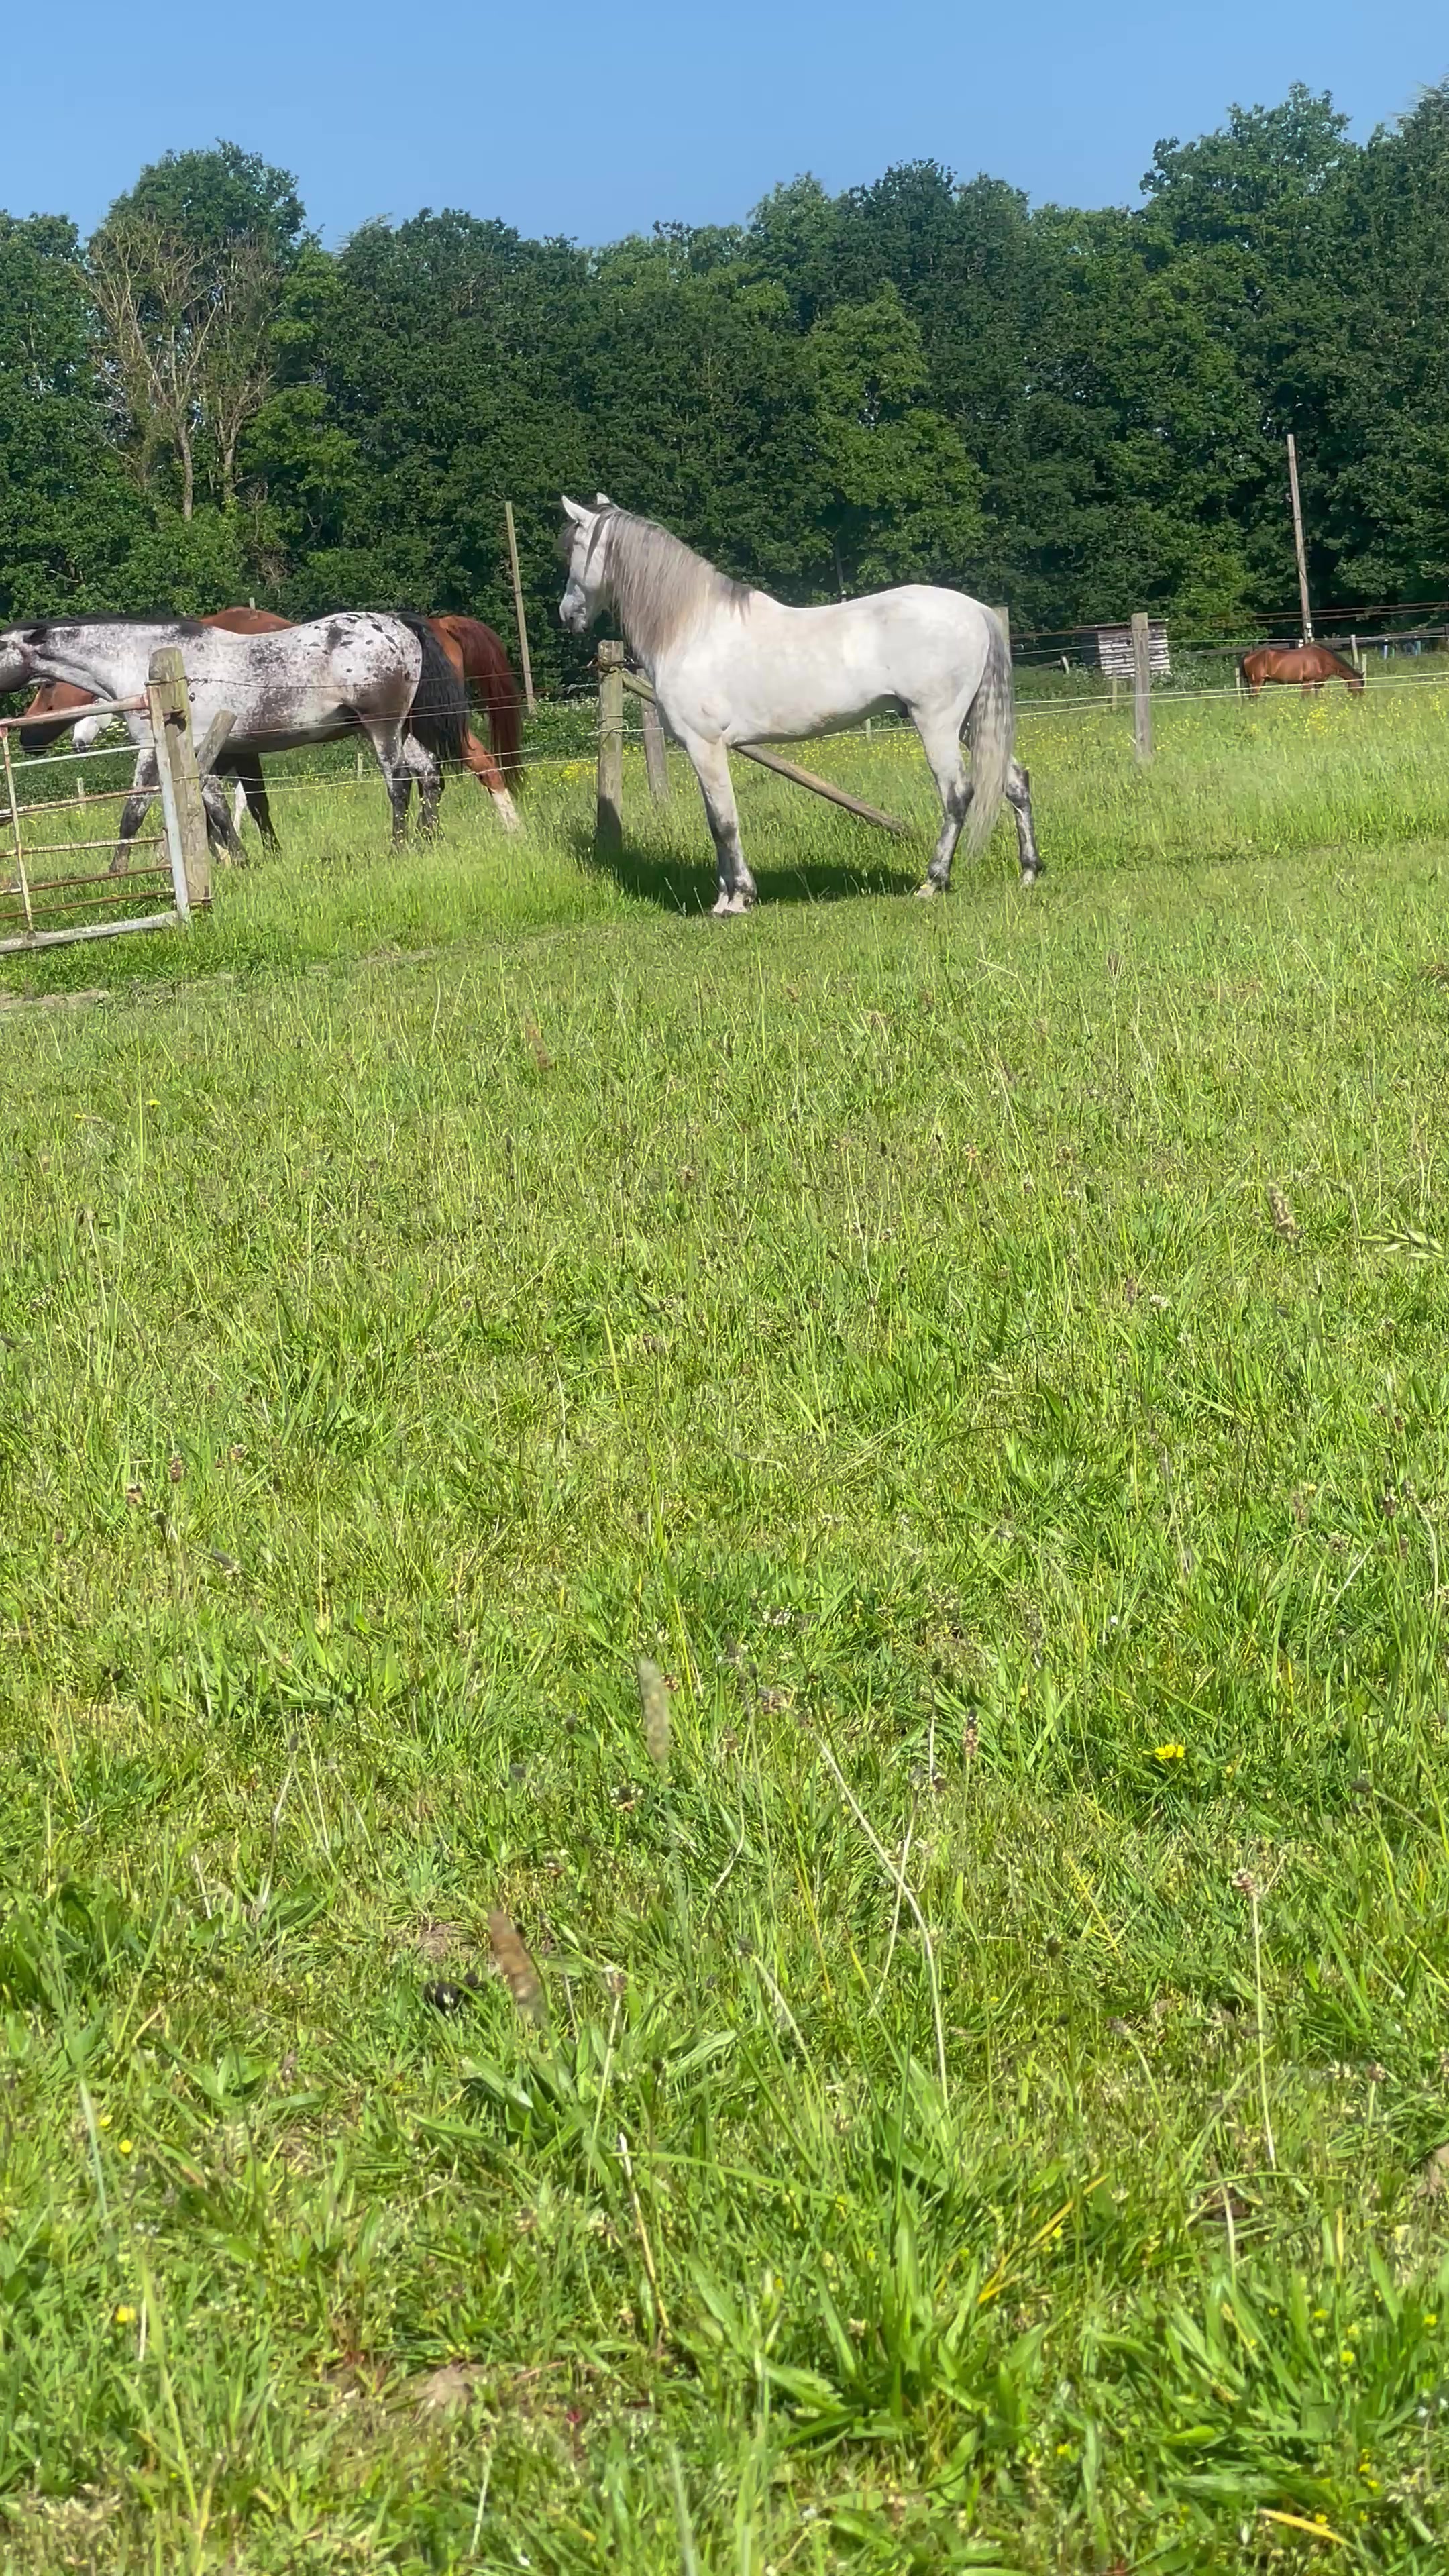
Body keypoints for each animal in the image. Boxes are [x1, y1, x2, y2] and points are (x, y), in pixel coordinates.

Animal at [18, 604, 524, 847]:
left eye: (47, 688)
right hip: (405, 728)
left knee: (463, 769)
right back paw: (429, 838)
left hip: (409, 726)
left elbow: (243, 808)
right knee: (432, 776)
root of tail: (430, 624)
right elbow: (219, 810)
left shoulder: (237, 752)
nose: (26, 738)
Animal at [557, 496, 1039, 911]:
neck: (692, 630)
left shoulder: (705, 746)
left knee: (958, 794)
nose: (567, 614)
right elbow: (715, 822)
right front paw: (722, 899)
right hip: (972, 722)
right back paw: (1030, 872)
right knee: (1014, 781)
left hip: (937, 723)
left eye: (575, 546)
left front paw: (738, 899)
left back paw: (933, 881)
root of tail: (977, 610)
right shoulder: (703, 751)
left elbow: (724, 822)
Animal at [1239, 642, 1365, 697]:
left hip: (1262, 681)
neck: (1322, 658)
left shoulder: (1317, 683)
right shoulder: (1308, 681)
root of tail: (1248, 656)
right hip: (1257, 682)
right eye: (1360, 685)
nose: (1361, 699)